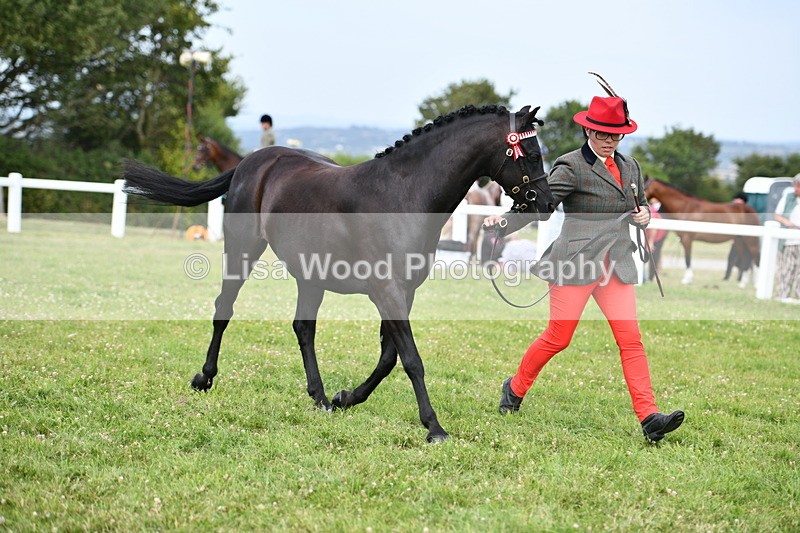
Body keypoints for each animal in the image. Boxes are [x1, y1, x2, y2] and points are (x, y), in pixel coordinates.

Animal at [122, 105, 555, 443]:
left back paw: (319, 397)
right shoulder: (386, 290)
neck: (403, 194)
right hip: (242, 251)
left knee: (303, 328)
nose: (548, 204)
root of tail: (252, 163)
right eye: (531, 153)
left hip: (309, 276)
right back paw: (205, 378)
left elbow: (389, 358)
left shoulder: (404, 291)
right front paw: (434, 428)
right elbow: (411, 359)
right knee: (223, 309)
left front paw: (346, 398)